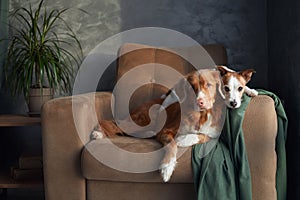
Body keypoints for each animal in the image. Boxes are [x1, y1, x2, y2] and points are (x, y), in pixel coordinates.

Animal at [92, 69, 224, 182]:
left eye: (209, 85)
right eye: (191, 87)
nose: (200, 102)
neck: (201, 116)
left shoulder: (215, 133)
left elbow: (205, 136)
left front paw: (183, 139)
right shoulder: (165, 130)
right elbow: (172, 144)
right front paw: (167, 167)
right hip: (144, 121)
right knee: (113, 123)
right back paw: (98, 133)